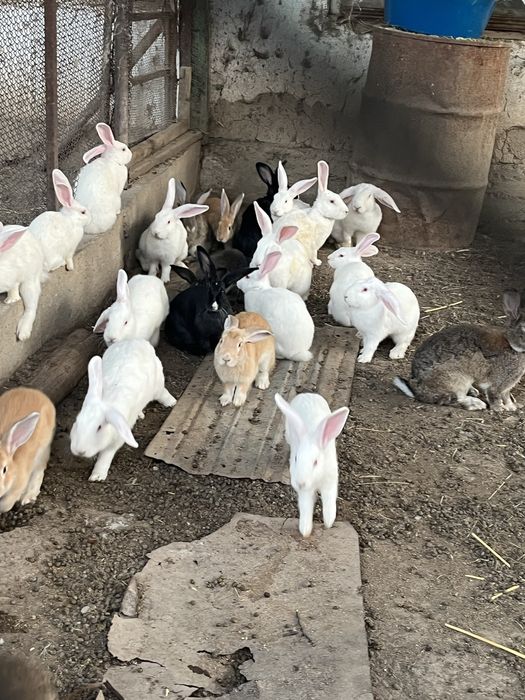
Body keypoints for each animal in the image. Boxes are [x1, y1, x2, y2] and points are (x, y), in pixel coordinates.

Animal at [70, 339, 176, 481]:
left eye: (99, 427)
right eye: (77, 423)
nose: (79, 450)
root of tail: (137, 341)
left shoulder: (116, 441)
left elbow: (105, 457)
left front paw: (97, 476)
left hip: (158, 384)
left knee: (162, 393)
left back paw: (171, 402)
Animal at [274, 392, 349, 538]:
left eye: (316, 462)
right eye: (296, 459)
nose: (300, 483)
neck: (316, 479)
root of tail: (307, 394)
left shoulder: (330, 483)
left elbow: (329, 503)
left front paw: (328, 523)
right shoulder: (305, 492)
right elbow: (305, 507)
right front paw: (305, 531)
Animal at [394, 289, 525, 412]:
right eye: (524, 329)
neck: (512, 345)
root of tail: (417, 390)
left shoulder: (507, 386)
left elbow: (506, 396)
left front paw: (512, 406)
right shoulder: (499, 382)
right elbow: (495, 394)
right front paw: (499, 409)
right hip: (457, 379)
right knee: (455, 398)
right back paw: (476, 404)